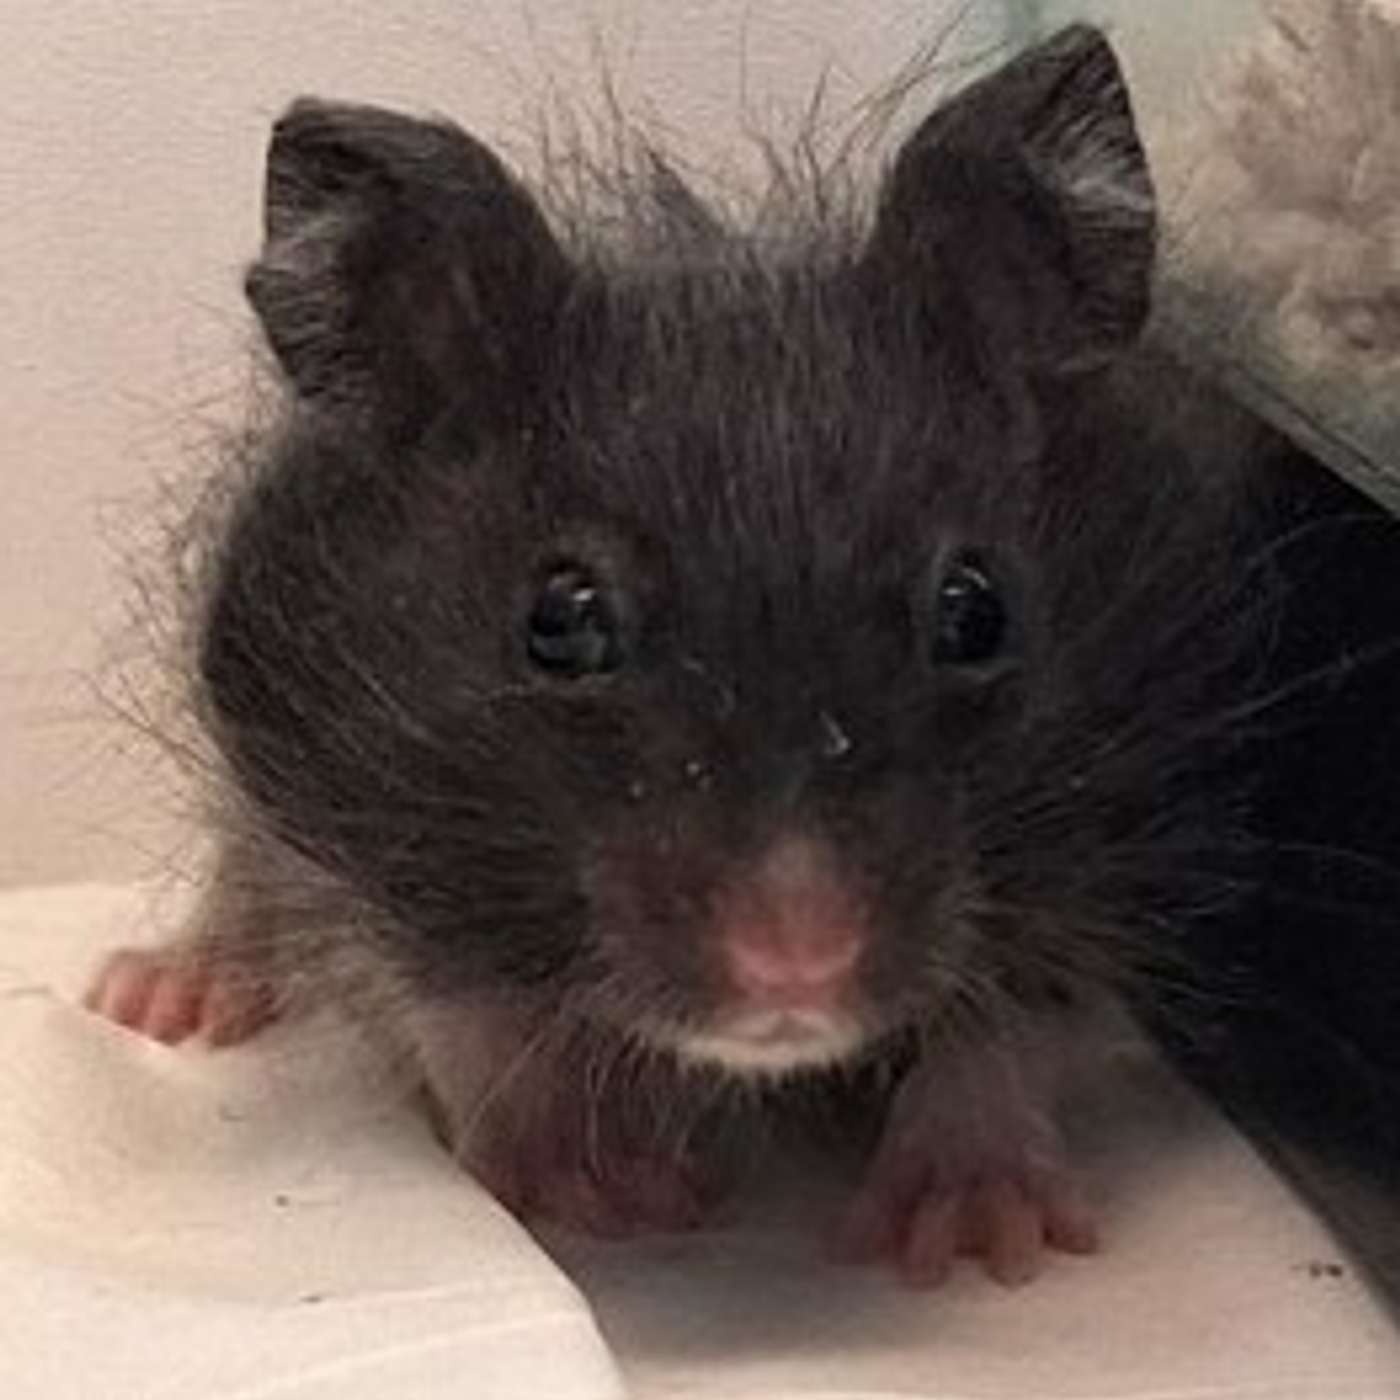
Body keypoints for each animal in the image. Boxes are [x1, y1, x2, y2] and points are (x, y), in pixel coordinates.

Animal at [85, 25, 1275, 1287]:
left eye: (974, 609)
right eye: (559, 618)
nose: (797, 965)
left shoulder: (1134, 808)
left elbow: (1013, 1014)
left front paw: (968, 1235)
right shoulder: (330, 789)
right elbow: (458, 1000)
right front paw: (610, 1185)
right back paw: (159, 994)